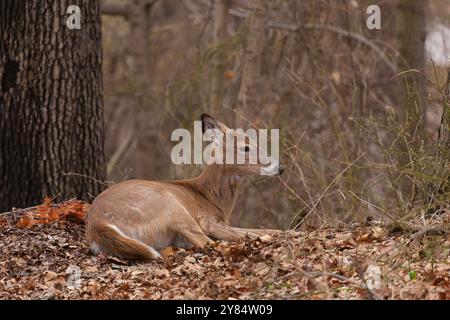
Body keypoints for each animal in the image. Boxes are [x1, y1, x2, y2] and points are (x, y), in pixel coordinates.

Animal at [85, 114, 284, 260]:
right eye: (245, 147)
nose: (280, 167)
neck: (211, 198)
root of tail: (97, 223)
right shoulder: (208, 220)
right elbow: (262, 231)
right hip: (170, 204)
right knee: (204, 241)